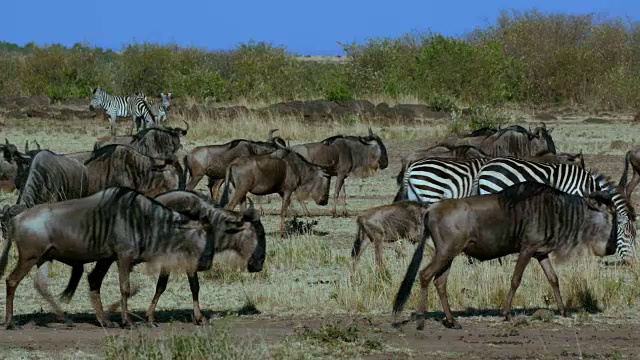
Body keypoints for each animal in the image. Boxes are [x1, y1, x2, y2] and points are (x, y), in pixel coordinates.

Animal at [392, 181, 624, 330]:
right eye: (611, 216)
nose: (610, 249)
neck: (555, 210)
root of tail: (431, 208)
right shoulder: (527, 249)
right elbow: (515, 279)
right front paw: (507, 313)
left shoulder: (540, 253)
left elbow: (553, 279)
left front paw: (564, 311)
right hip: (445, 252)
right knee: (425, 275)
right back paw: (421, 321)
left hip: (449, 254)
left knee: (440, 282)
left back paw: (452, 321)